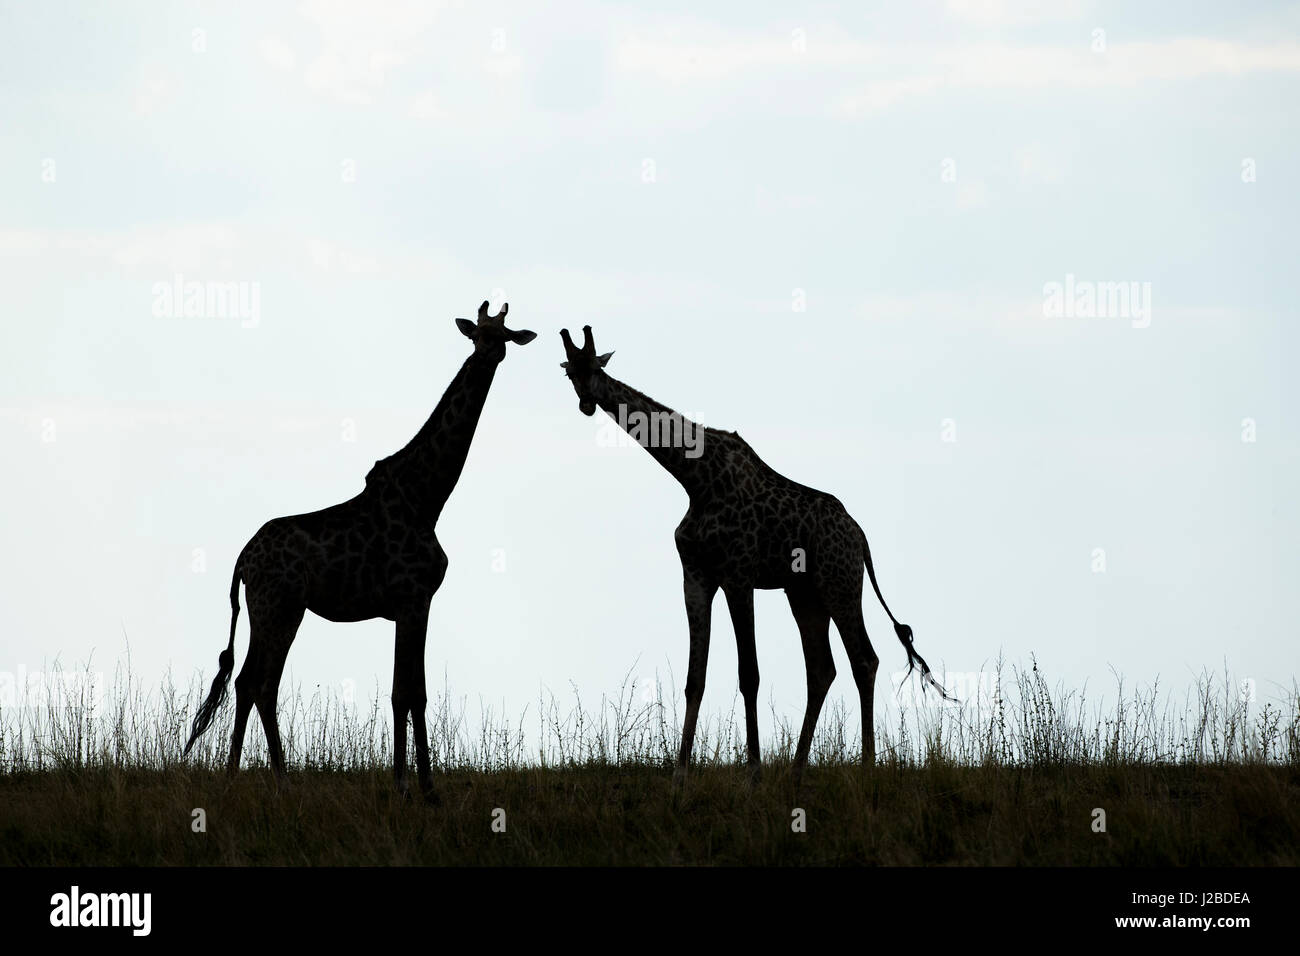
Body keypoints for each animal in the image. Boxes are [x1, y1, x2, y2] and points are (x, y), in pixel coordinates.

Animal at [183, 301, 535, 799]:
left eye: (502, 334)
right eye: (477, 334)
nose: (487, 352)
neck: (427, 498)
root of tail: (242, 561)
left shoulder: (412, 604)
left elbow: (409, 690)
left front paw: (414, 786)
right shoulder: (414, 599)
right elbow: (408, 692)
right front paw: (416, 789)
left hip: (269, 609)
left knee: (252, 682)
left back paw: (257, 778)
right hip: (279, 608)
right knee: (256, 681)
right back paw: (262, 780)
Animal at [559, 326, 951, 789]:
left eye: (595, 366)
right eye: (570, 373)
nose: (587, 402)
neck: (695, 478)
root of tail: (861, 537)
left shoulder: (738, 576)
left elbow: (750, 674)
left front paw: (754, 775)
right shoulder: (696, 577)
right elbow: (695, 678)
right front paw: (679, 776)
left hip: (839, 584)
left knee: (864, 660)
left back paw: (868, 767)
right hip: (804, 595)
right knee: (822, 669)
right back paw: (797, 770)